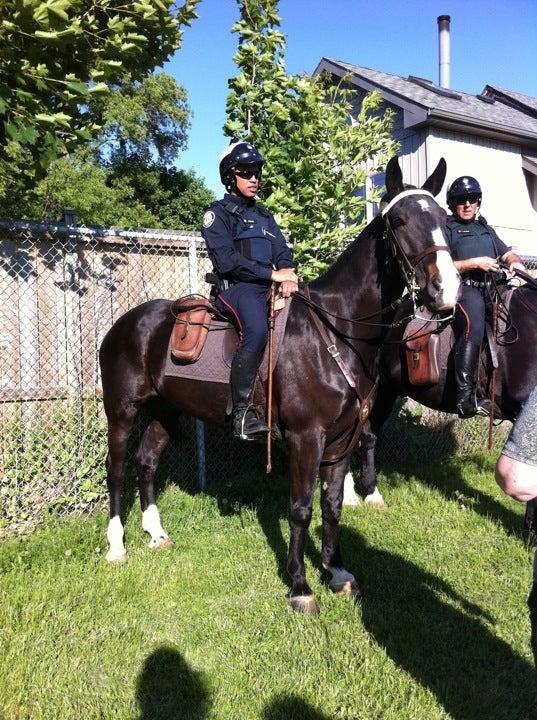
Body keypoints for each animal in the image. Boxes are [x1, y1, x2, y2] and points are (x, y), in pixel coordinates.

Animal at [97, 155, 456, 612]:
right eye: (400, 221)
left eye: (443, 220)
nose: (446, 291)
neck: (336, 331)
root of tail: (123, 325)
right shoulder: (306, 438)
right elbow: (300, 508)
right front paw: (300, 586)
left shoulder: (342, 440)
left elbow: (333, 505)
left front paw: (337, 572)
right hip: (122, 413)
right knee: (117, 470)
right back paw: (116, 546)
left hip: (165, 411)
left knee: (146, 463)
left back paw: (156, 535)